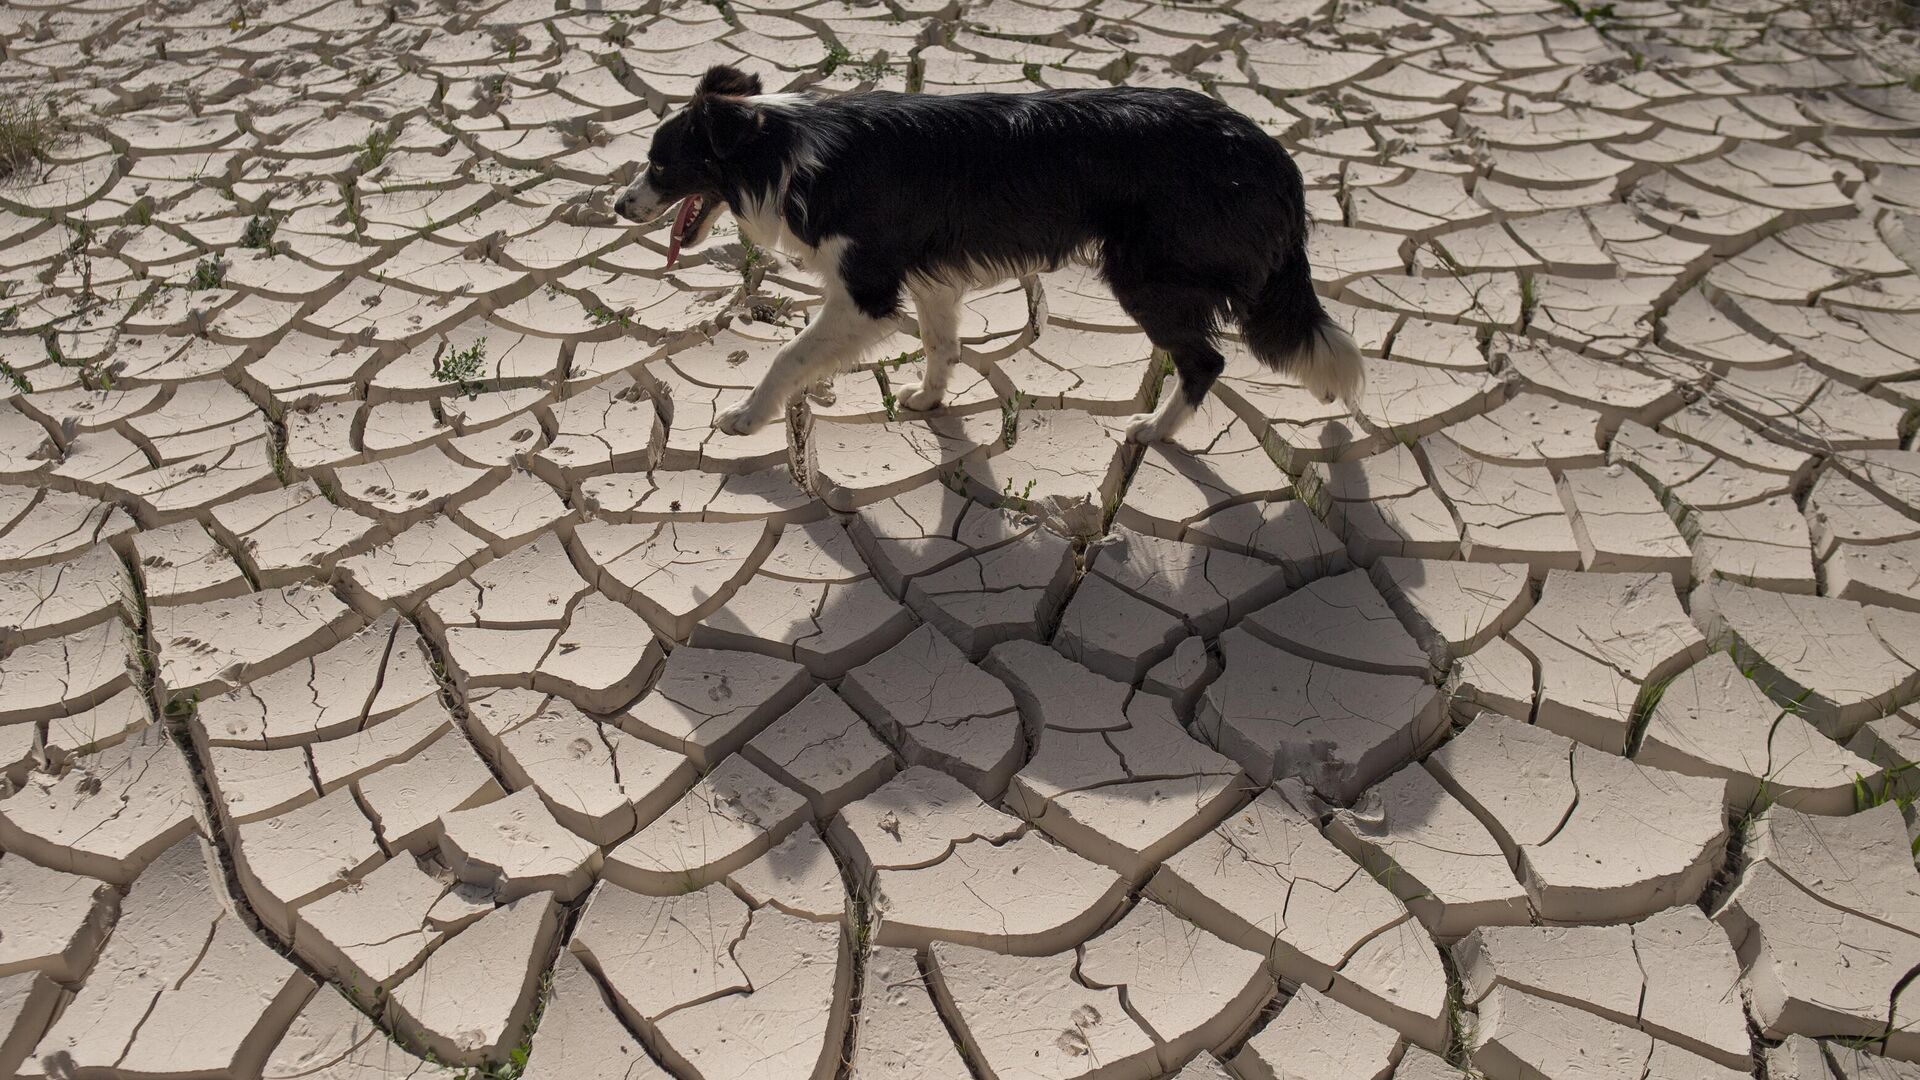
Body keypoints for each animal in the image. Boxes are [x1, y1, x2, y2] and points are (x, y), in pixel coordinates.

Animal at [614, 65, 1367, 441]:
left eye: (660, 163)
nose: (618, 207)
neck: (782, 153)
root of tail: (1272, 152)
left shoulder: (867, 290)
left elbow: (789, 355)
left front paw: (747, 416)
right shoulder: (930, 279)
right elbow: (941, 343)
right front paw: (926, 399)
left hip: (1144, 276)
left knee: (1205, 359)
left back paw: (1154, 429)